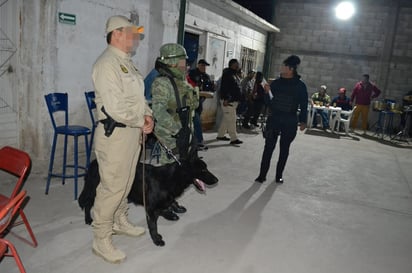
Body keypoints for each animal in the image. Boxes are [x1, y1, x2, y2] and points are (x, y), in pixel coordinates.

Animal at [77, 146, 219, 245]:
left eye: (206, 168)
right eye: (203, 170)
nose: (217, 180)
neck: (172, 178)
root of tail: (94, 162)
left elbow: (168, 204)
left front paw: (171, 212)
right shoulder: (150, 208)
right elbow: (153, 226)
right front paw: (156, 239)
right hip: (96, 192)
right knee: (88, 203)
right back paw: (88, 219)